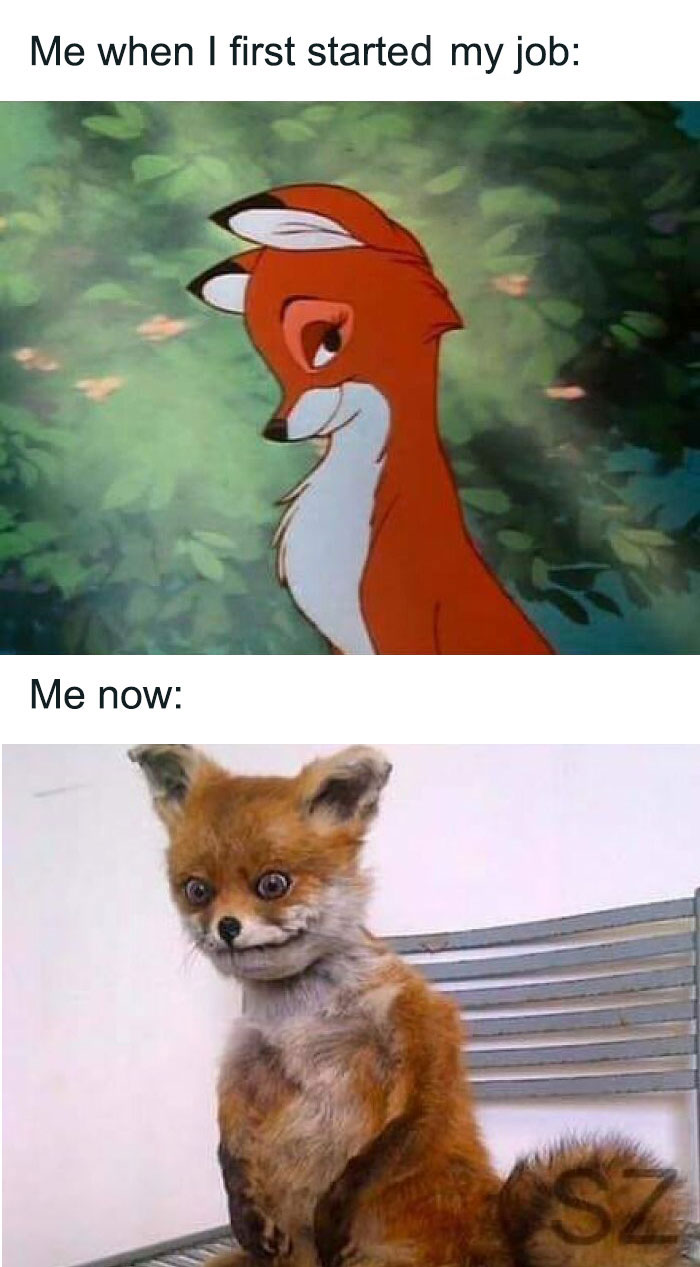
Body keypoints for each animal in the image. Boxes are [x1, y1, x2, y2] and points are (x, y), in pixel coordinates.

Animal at [130, 743, 684, 1267]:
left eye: (272, 883)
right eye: (197, 890)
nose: (225, 928)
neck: (302, 1020)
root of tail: (501, 1240)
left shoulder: (420, 1039)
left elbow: (378, 1153)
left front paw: (332, 1211)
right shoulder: (245, 1064)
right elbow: (228, 1148)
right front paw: (243, 1211)